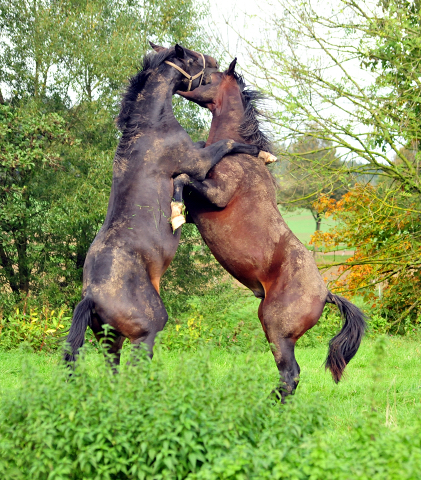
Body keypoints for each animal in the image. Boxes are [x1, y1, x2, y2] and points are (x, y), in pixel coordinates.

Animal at [64, 46, 260, 368]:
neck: (151, 127)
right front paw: (259, 150)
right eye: (191, 57)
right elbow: (227, 144)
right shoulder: (198, 162)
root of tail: (90, 296)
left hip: (111, 342)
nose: (213, 62)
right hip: (146, 330)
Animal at [173, 60, 364, 402]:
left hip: (275, 329)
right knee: (291, 377)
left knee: (290, 374)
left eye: (209, 77)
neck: (239, 158)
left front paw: (174, 214)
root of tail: (326, 294)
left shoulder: (216, 195)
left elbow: (183, 178)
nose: (180, 85)